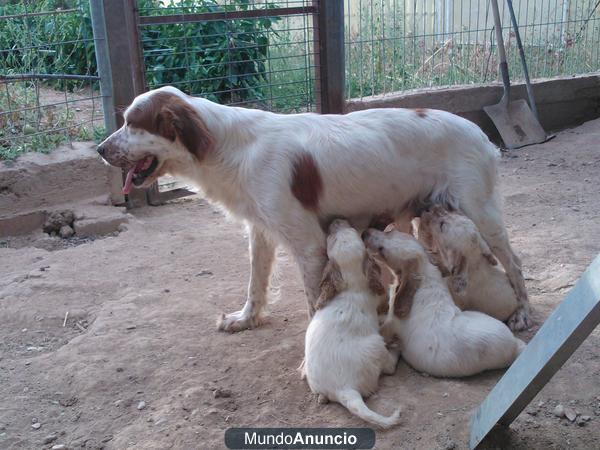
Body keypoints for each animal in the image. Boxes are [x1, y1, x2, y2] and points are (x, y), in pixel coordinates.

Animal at [97, 87, 528, 334]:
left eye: (133, 123)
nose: (100, 150)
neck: (230, 148)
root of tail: (480, 133)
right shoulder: (260, 232)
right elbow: (255, 284)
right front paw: (245, 319)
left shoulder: (308, 245)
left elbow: (313, 301)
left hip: (480, 212)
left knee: (514, 262)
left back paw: (522, 313)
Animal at [304, 220, 404, 428]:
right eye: (331, 238)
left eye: (351, 231)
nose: (336, 220)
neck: (352, 283)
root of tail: (344, 390)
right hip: (375, 346)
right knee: (389, 366)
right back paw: (397, 349)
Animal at [360, 229, 524, 380]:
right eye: (390, 230)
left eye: (382, 251)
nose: (364, 232)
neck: (424, 273)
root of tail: (515, 345)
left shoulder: (391, 324)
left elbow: (383, 329)